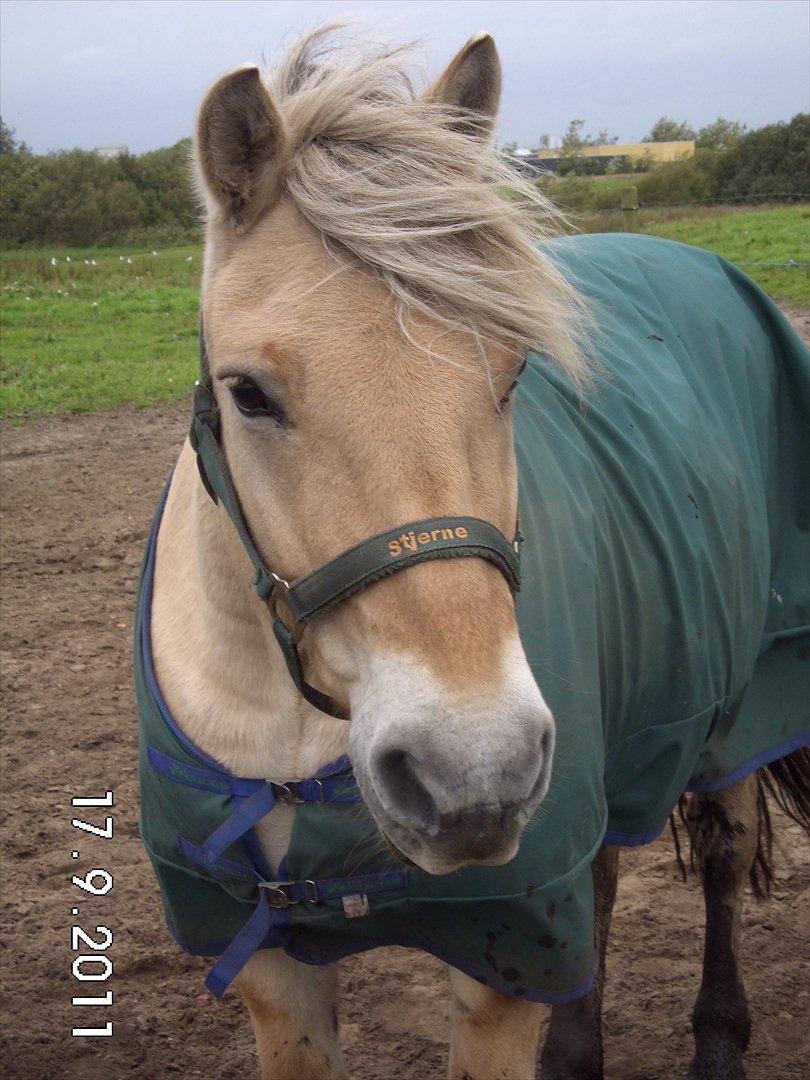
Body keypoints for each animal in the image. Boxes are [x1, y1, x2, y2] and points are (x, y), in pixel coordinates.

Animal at [136, 25, 807, 1080]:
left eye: (515, 372)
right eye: (247, 393)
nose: (472, 770)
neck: (291, 737)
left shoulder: (505, 958)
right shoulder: (272, 970)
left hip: (742, 701)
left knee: (725, 848)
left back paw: (718, 1039)